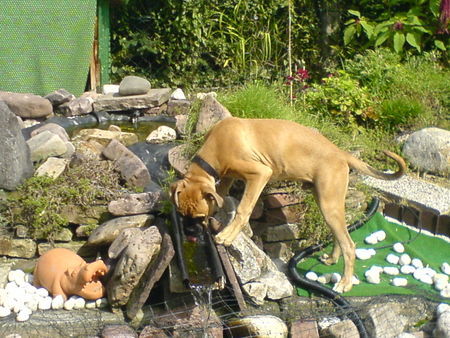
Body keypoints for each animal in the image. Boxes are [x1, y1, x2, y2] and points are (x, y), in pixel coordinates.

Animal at [171, 117, 406, 294]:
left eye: (199, 217)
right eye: (181, 214)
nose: (189, 233)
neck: (216, 147)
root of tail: (341, 153)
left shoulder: (259, 174)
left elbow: (243, 209)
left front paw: (227, 236)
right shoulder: (226, 177)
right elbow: (220, 197)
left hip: (328, 204)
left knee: (349, 244)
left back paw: (345, 283)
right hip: (327, 203)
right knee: (341, 234)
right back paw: (332, 259)